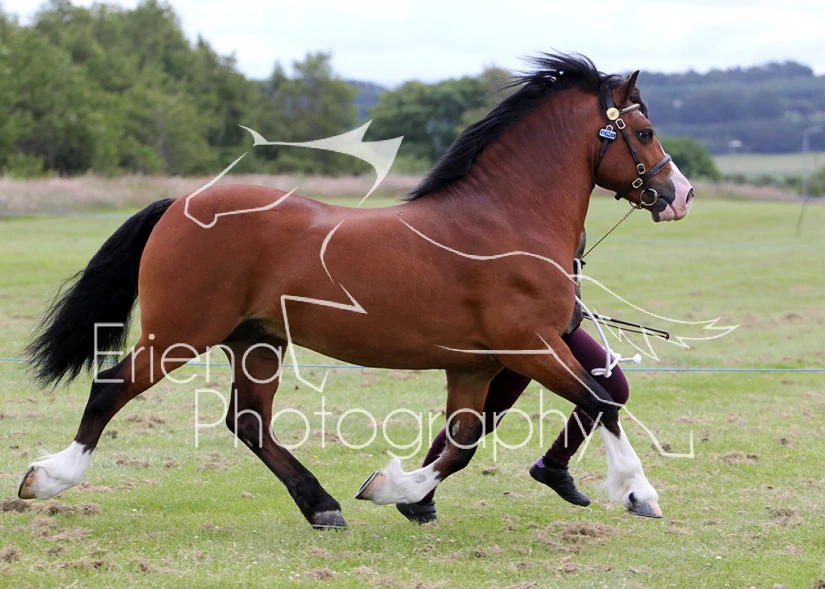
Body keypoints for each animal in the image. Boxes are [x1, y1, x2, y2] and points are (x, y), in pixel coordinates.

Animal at [18, 53, 693, 529]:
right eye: (644, 130)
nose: (680, 194)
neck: (505, 221)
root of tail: (180, 204)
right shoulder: (531, 345)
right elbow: (601, 401)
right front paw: (639, 492)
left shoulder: (478, 364)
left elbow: (464, 439)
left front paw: (398, 490)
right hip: (180, 334)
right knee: (112, 388)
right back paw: (48, 478)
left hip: (255, 341)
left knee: (249, 421)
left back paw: (322, 505)